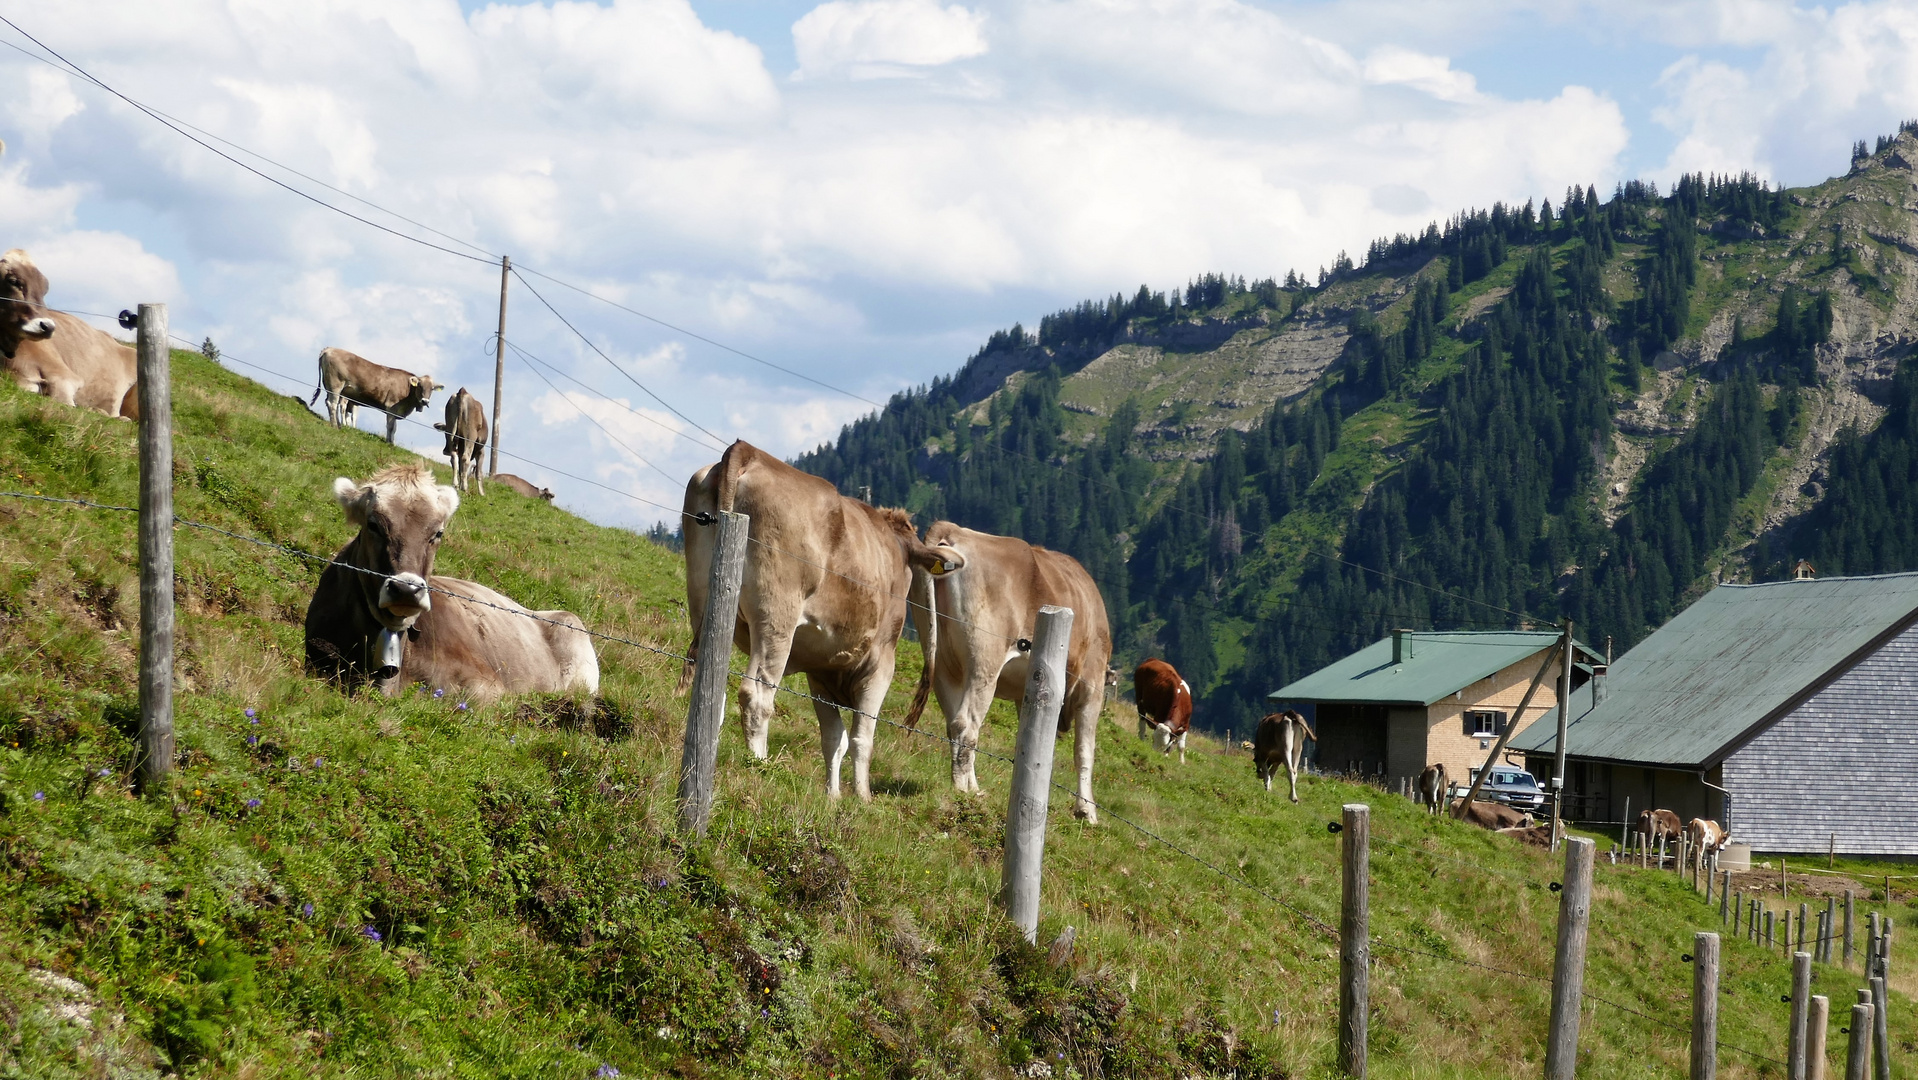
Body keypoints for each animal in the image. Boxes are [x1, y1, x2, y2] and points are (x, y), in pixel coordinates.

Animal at [308, 349, 439, 445]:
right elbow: (391, 427)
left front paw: (392, 442)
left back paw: (339, 424)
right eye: (420, 386)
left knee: (329, 403)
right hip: (336, 384)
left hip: (331, 387)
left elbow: (395, 428)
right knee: (333, 404)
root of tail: (329, 349)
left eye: (432, 388)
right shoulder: (391, 407)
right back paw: (335, 425)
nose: (425, 401)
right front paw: (389, 443)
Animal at [678, 439, 955, 801]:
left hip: (702, 600)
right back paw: (760, 766)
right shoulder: (881, 663)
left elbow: (834, 738)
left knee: (709, 686)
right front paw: (863, 798)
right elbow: (862, 737)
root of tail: (749, 451)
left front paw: (832, 796)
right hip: (777, 616)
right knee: (757, 694)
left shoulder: (819, 672)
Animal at [905, 525, 1120, 828]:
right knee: (965, 725)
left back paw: (973, 788)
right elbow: (1084, 750)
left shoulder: (1028, 695)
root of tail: (953, 530)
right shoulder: (1092, 684)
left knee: (954, 725)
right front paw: (1086, 811)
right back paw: (962, 791)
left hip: (942, 662)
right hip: (984, 664)